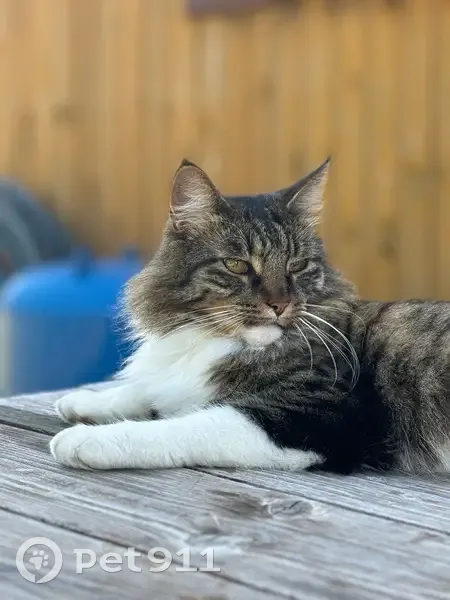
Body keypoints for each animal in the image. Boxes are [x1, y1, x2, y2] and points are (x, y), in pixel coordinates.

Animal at [50, 158, 450, 474]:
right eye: (237, 265)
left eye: (297, 266)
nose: (280, 305)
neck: (212, 341)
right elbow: (147, 391)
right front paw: (86, 401)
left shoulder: (318, 416)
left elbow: (187, 426)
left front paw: (87, 439)